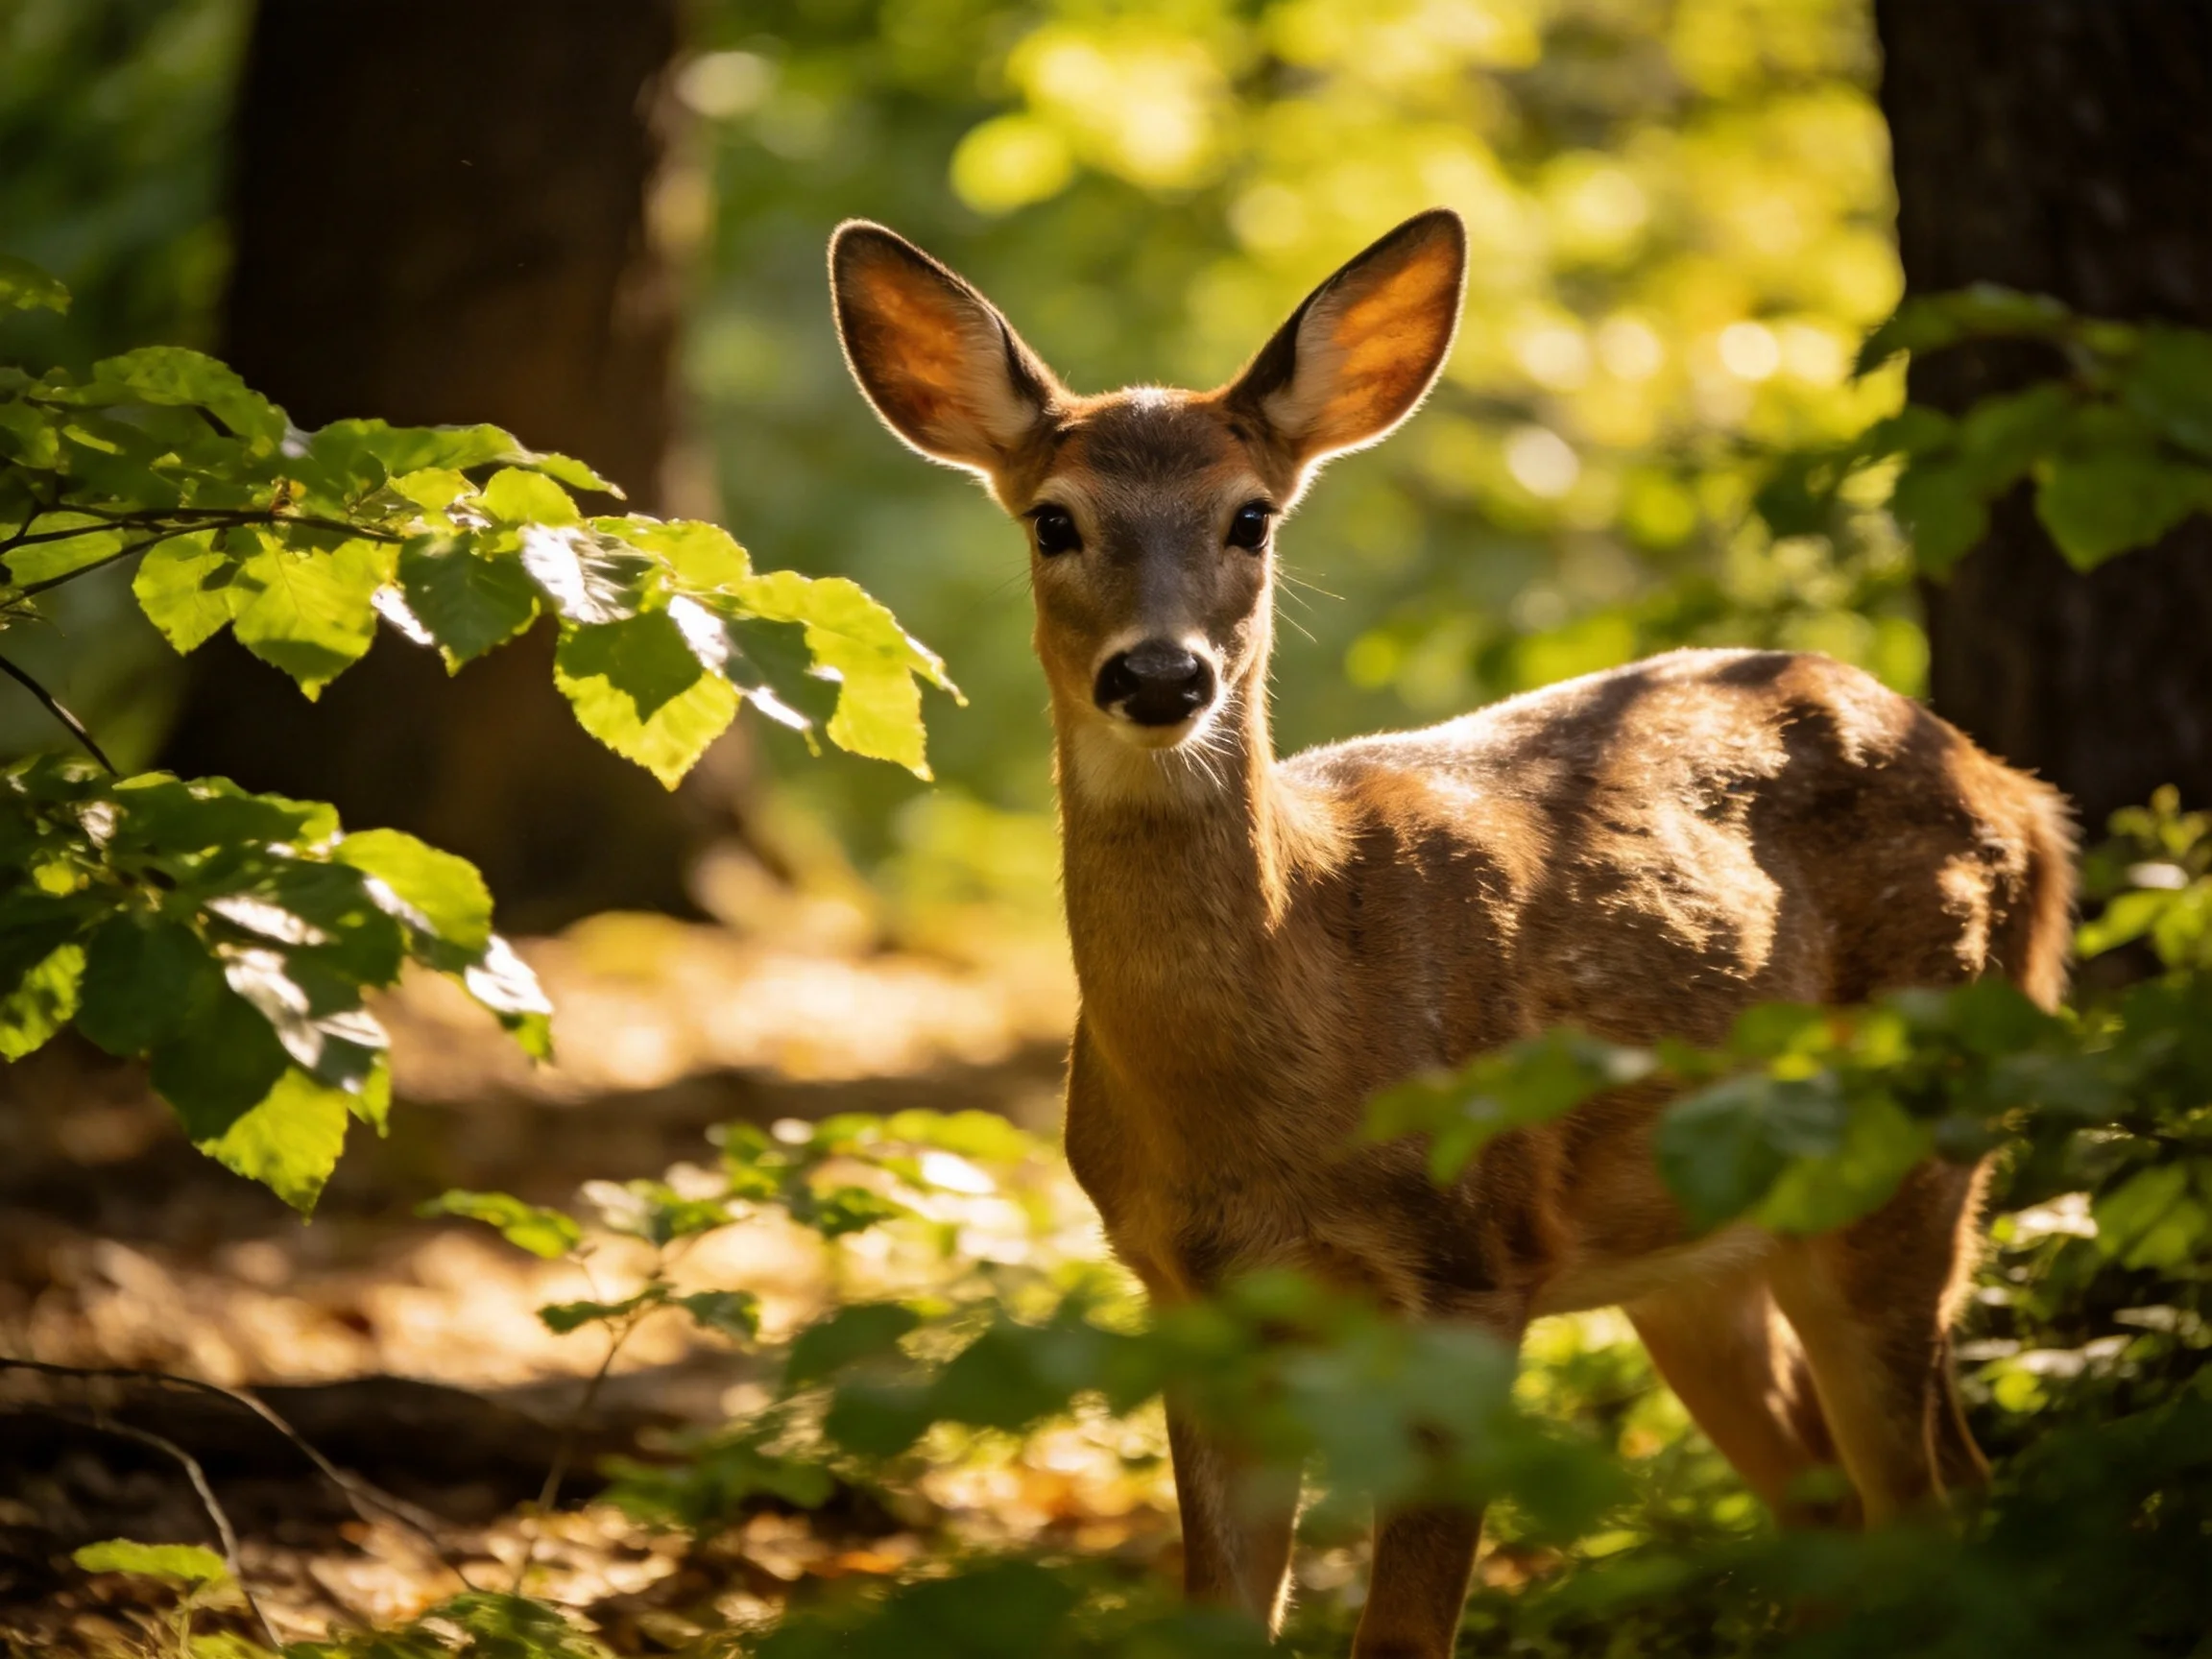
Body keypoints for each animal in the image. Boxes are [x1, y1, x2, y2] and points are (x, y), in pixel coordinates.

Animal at [827, 208, 2075, 1659]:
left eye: (1249, 517)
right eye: (1053, 520)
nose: (1159, 675)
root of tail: (2029, 803)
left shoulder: (1472, 1264)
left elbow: (1405, 1631)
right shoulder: (1188, 1294)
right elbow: (1220, 1610)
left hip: (1908, 1139)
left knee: (1930, 1496)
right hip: (1695, 1249)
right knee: (1840, 1505)